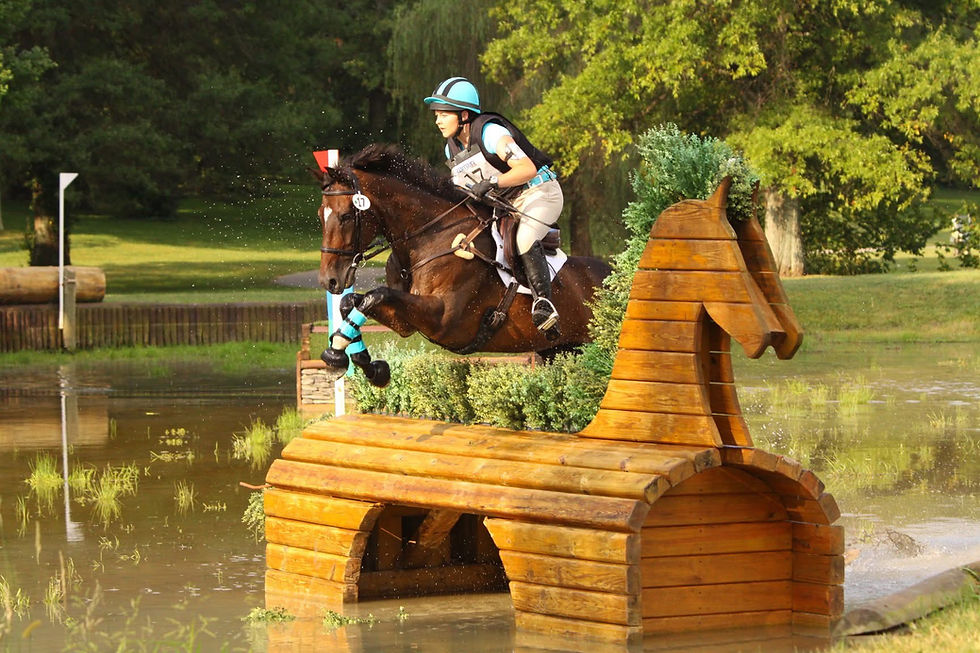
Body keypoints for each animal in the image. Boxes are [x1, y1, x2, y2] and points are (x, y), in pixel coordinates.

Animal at [315, 144, 612, 386]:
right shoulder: (406, 322)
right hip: (560, 349)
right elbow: (352, 301)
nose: (330, 280)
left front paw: (336, 354)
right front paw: (366, 365)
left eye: (345, 216)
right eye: (320, 215)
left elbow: (375, 296)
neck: (430, 236)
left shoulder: (443, 319)